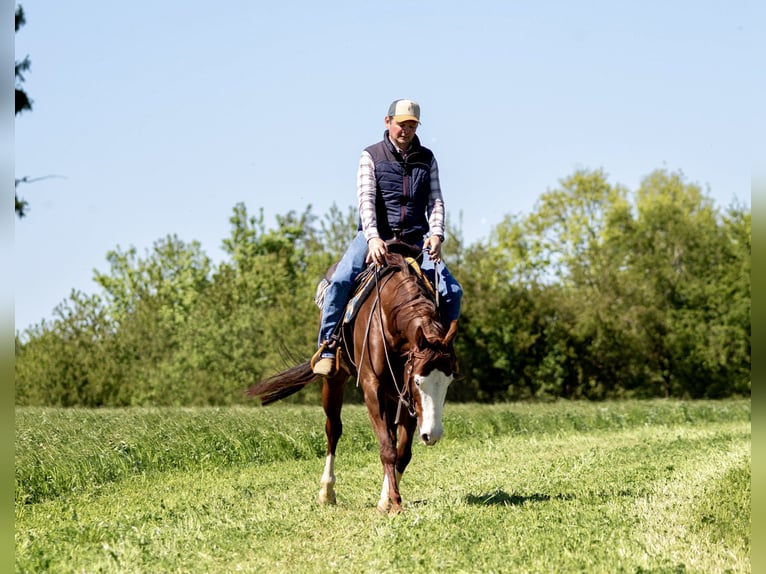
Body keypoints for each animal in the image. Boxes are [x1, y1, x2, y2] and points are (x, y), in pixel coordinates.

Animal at [247, 248, 458, 513]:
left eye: (448, 383)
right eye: (418, 382)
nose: (434, 435)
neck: (391, 316)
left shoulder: (405, 396)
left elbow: (401, 452)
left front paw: (387, 500)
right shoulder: (374, 387)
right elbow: (387, 448)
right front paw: (395, 502)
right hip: (335, 379)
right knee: (333, 429)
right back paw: (327, 492)